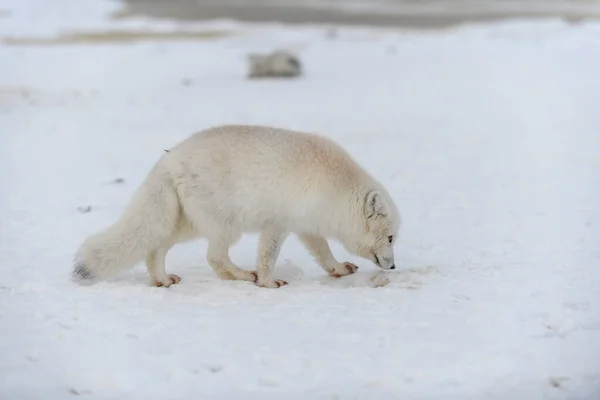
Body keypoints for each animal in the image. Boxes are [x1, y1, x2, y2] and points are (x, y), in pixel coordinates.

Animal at [75, 125, 400, 288]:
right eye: (390, 237)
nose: (394, 266)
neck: (335, 188)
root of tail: (169, 159)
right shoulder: (278, 222)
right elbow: (267, 256)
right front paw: (267, 282)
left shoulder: (306, 226)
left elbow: (323, 254)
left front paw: (339, 269)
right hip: (226, 224)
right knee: (214, 258)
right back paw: (245, 276)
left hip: (187, 224)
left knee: (156, 248)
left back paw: (162, 280)